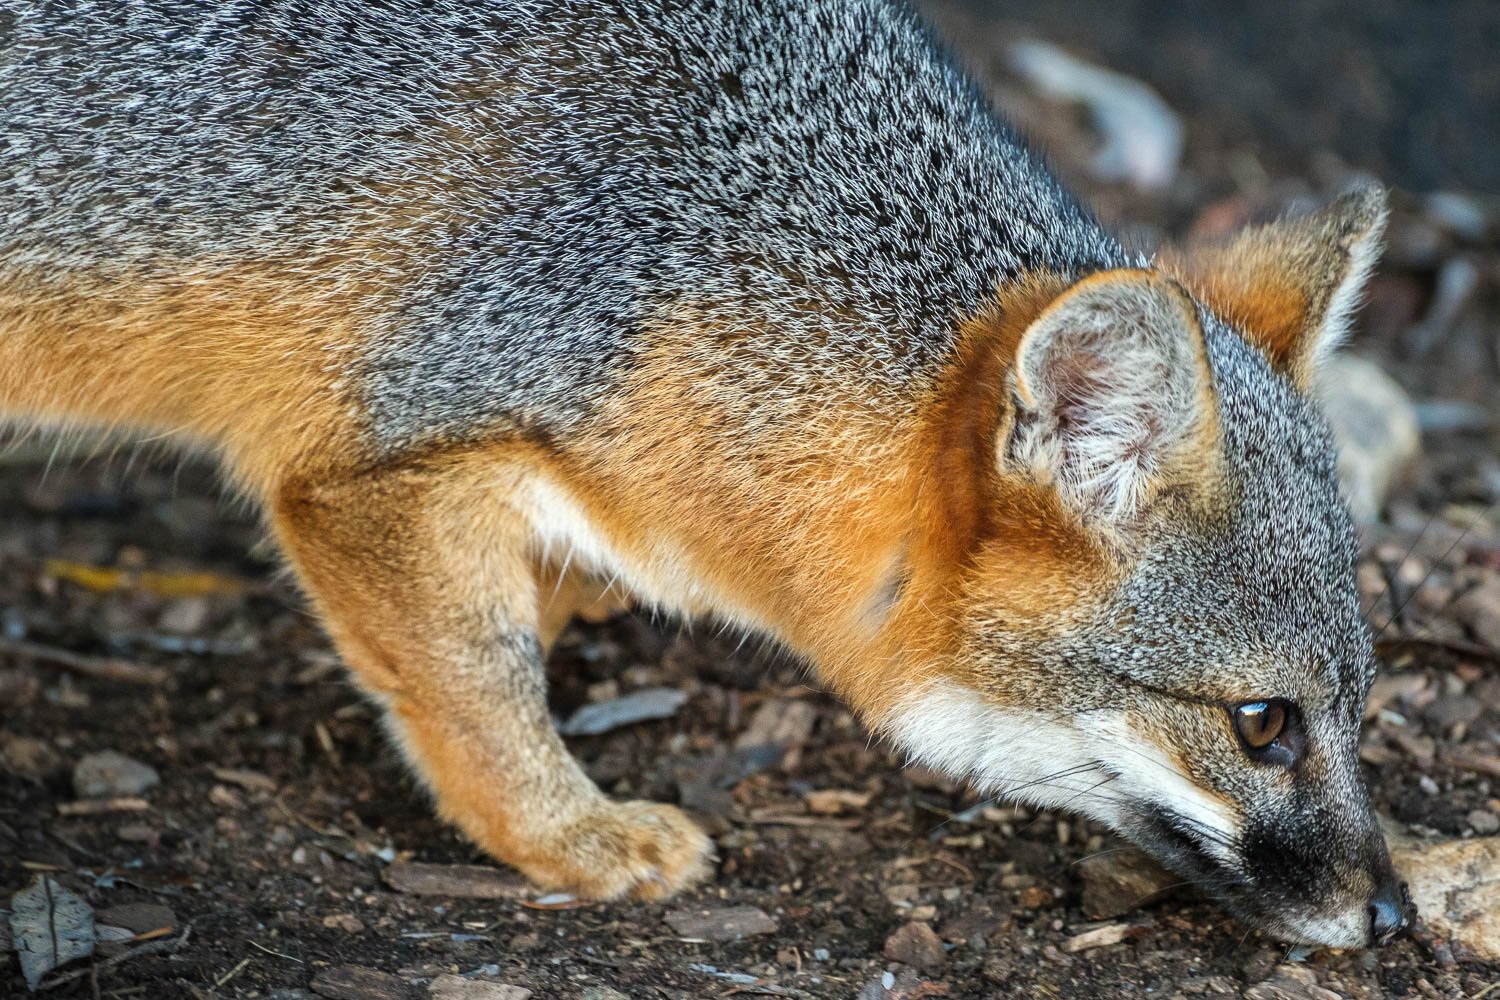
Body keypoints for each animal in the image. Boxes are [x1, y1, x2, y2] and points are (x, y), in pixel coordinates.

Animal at [0, 0, 1416, 953]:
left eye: (1362, 703)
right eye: (1262, 724)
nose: (1398, 917)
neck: (702, 243)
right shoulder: (370, 463)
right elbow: (478, 673)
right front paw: (566, 833)